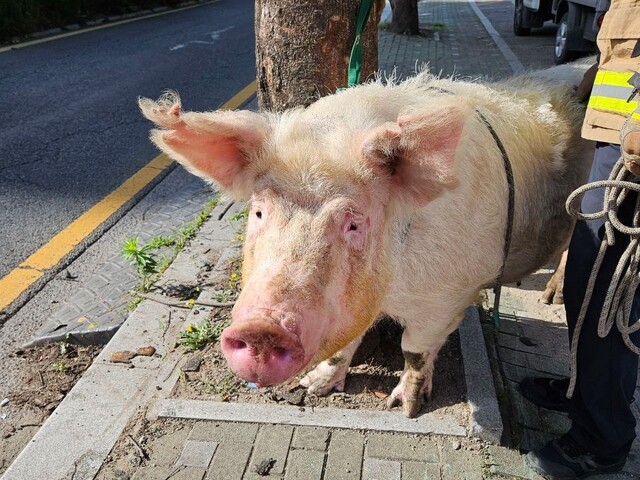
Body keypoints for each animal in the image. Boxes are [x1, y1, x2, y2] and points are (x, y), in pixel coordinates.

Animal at [139, 69, 592, 418]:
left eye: (353, 223)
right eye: (259, 212)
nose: (261, 328)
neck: (391, 292)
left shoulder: (450, 296)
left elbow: (415, 350)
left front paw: (405, 409)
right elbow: (344, 345)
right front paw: (312, 388)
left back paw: (553, 298)